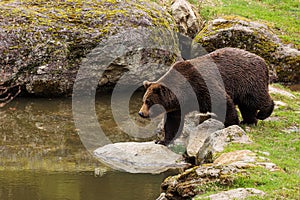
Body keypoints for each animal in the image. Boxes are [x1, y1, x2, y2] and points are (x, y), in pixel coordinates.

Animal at [138, 48, 274, 145]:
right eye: (144, 100)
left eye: (148, 101)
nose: (141, 113)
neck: (184, 93)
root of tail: (263, 61)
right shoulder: (177, 106)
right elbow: (173, 122)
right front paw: (162, 140)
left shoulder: (202, 85)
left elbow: (223, 102)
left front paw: (231, 125)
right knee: (247, 107)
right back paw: (249, 120)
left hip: (247, 80)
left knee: (256, 99)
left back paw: (262, 113)